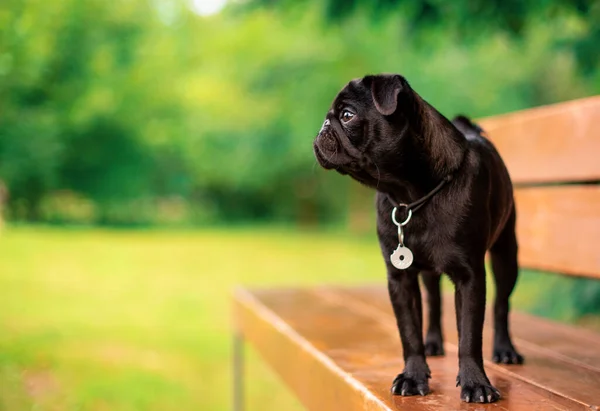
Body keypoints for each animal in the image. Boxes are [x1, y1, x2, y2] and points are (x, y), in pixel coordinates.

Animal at [312, 74, 524, 402]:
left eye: (347, 115)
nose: (322, 127)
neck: (410, 198)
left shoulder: (470, 276)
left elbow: (470, 335)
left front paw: (476, 382)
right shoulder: (400, 278)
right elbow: (409, 332)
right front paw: (413, 376)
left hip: (506, 254)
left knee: (502, 304)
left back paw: (504, 349)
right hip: (428, 273)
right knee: (434, 302)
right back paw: (433, 343)